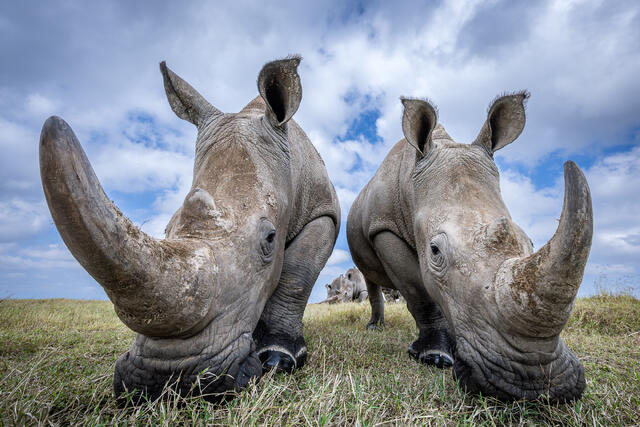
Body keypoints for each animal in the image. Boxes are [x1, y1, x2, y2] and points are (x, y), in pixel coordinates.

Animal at [39, 57, 340, 401]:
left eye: (270, 239)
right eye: (167, 229)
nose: (165, 381)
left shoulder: (325, 212)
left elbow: (296, 275)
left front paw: (279, 358)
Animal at [347, 93, 592, 402]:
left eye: (530, 242)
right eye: (435, 251)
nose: (532, 386)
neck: (411, 186)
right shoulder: (384, 228)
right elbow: (419, 292)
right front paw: (435, 357)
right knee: (370, 278)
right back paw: (375, 328)